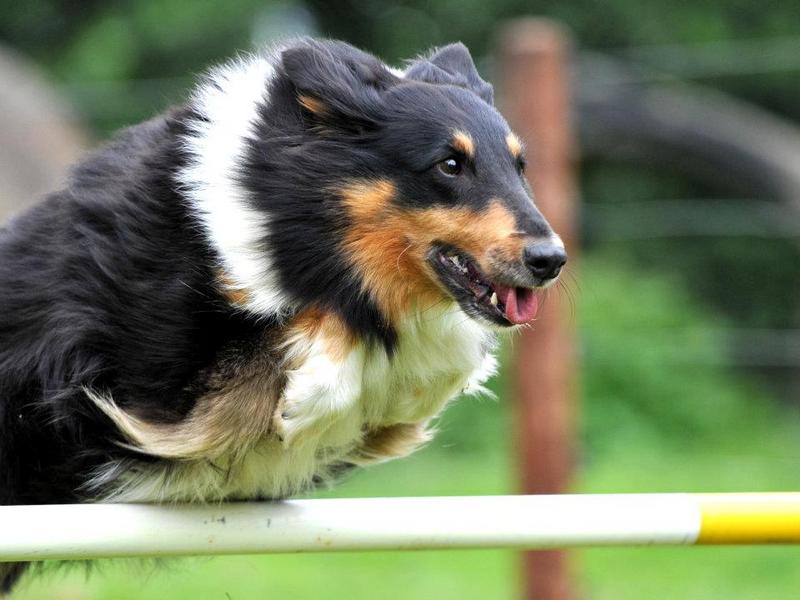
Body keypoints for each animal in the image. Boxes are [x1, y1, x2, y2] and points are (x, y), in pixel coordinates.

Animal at [0, 38, 565, 592]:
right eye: (449, 164)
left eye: (520, 167)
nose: (551, 260)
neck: (273, 209)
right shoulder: (152, 384)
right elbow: (299, 333)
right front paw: (310, 399)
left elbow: (428, 366)